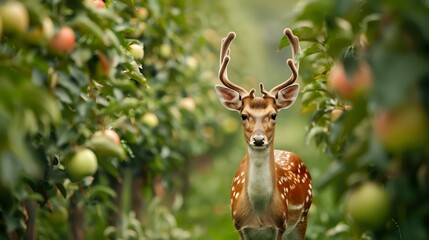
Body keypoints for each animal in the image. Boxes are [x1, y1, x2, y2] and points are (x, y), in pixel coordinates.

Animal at [214, 27, 310, 238]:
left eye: (273, 114)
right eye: (243, 115)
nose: (258, 139)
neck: (259, 217)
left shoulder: (280, 226)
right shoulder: (240, 227)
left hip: (303, 218)